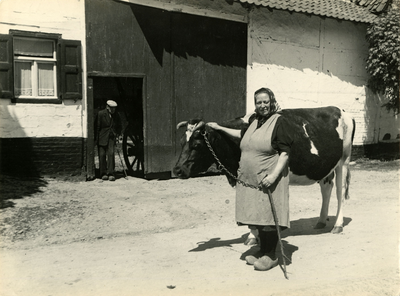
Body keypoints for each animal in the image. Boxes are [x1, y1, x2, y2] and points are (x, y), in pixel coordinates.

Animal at [173, 106, 354, 238]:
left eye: (197, 144)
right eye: (181, 142)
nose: (177, 170)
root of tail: (341, 110)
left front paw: (253, 236)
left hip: (343, 161)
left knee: (340, 191)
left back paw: (338, 225)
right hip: (326, 165)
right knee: (326, 188)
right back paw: (321, 221)